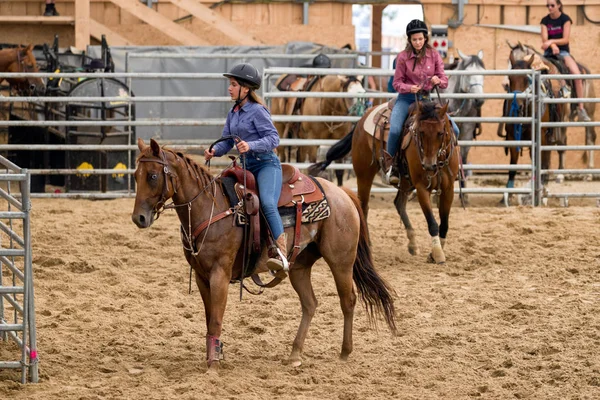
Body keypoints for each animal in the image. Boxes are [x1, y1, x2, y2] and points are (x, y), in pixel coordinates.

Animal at [130, 139, 398, 370]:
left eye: (153, 176)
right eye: (135, 176)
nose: (138, 218)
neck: (211, 207)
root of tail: (342, 193)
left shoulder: (219, 274)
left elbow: (216, 319)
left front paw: (214, 364)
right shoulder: (201, 277)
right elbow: (209, 318)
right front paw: (215, 354)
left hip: (341, 261)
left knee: (348, 300)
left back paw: (344, 352)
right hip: (299, 266)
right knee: (310, 304)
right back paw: (295, 354)